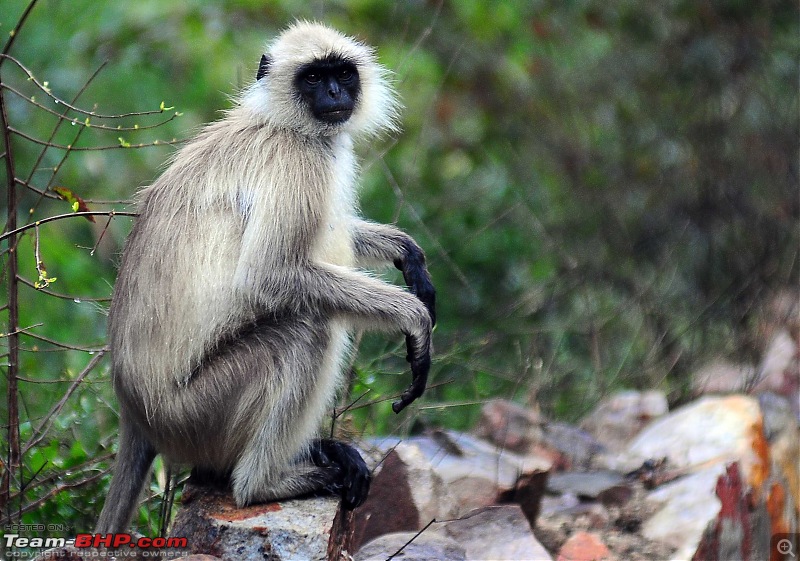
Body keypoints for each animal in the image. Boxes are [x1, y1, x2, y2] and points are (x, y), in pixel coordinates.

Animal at [96, 21, 434, 532]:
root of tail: (133, 410)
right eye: (313, 78)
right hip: (196, 413)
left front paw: (406, 252)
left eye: (341, 73)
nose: (334, 93)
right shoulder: (296, 162)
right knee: (307, 328)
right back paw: (261, 485)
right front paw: (413, 318)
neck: (285, 123)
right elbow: (267, 276)